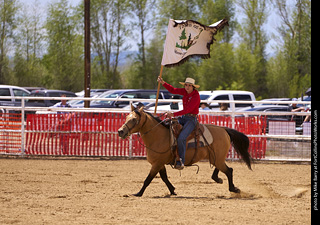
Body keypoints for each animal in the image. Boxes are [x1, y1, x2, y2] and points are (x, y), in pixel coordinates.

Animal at [117, 105, 252, 197]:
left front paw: (138, 193)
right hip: (216, 157)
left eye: (134, 119)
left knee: (229, 170)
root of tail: (224, 129)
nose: (120, 131)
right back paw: (218, 179)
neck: (159, 136)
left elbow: (148, 179)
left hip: (217, 158)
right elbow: (164, 178)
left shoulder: (157, 164)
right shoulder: (160, 164)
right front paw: (172, 190)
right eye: (126, 117)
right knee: (223, 169)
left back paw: (234, 189)